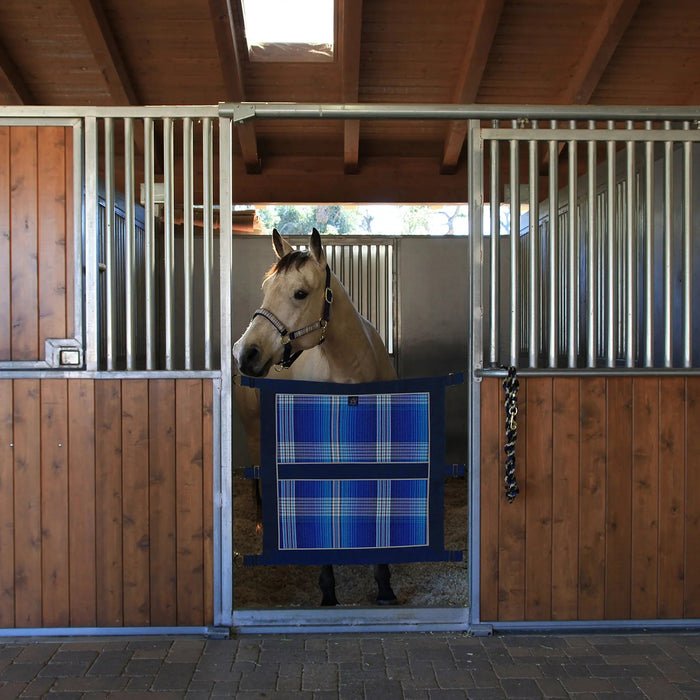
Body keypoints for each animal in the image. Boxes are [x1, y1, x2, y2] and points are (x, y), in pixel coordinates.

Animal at [233, 228, 398, 606]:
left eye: (299, 293)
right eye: (266, 287)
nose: (245, 353)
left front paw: (384, 585)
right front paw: (328, 590)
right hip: (255, 432)